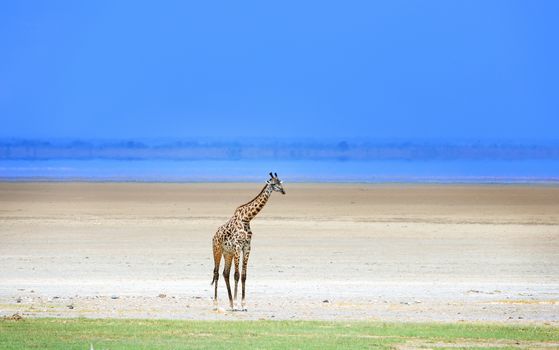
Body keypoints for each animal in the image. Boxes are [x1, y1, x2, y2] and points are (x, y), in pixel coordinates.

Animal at [212, 171, 286, 310]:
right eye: (273, 184)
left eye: (280, 182)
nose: (283, 191)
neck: (247, 218)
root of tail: (214, 235)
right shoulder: (237, 246)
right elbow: (236, 275)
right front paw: (237, 304)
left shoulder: (247, 247)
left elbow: (243, 276)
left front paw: (243, 304)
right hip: (217, 250)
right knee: (217, 273)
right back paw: (216, 304)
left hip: (227, 253)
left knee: (225, 273)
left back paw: (230, 303)